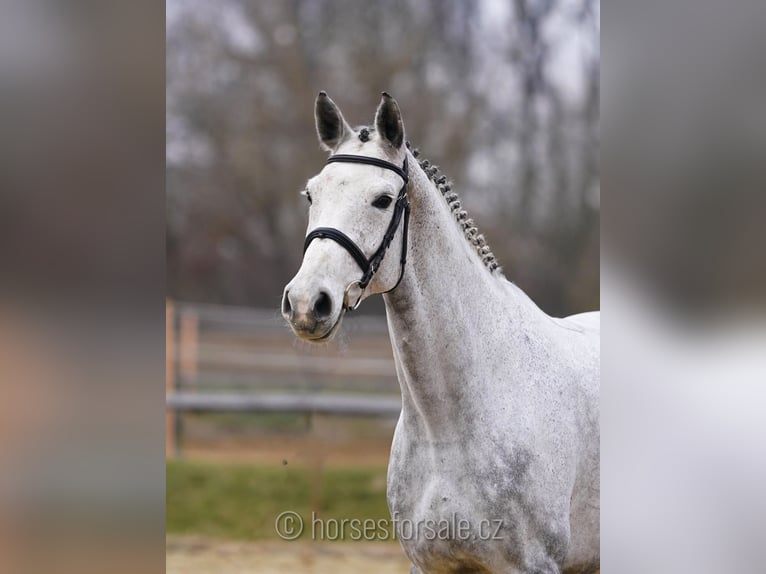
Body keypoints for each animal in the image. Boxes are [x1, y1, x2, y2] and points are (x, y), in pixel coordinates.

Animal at [282, 92, 600, 572]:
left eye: (382, 199)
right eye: (311, 194)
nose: (306, 303)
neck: (446, 430)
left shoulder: (533, 564)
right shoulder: (428, 563)